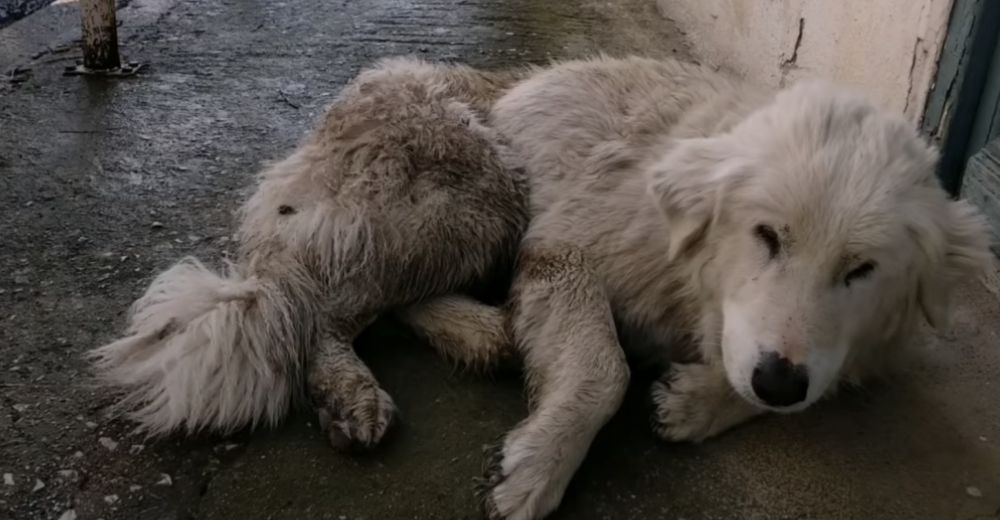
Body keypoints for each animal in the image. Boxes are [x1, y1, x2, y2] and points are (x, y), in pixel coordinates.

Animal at [90, 55, 988, 520]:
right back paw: (355, 392)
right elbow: (602, 372)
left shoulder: (844, 348)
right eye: (768, 236)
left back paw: (483, 335)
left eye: (860, 271)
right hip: (482, 191)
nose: (775, 378)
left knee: (387, 298)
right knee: (319, 305)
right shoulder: (566, 254)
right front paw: (540, 468)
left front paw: (698, 402)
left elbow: (811, 380)